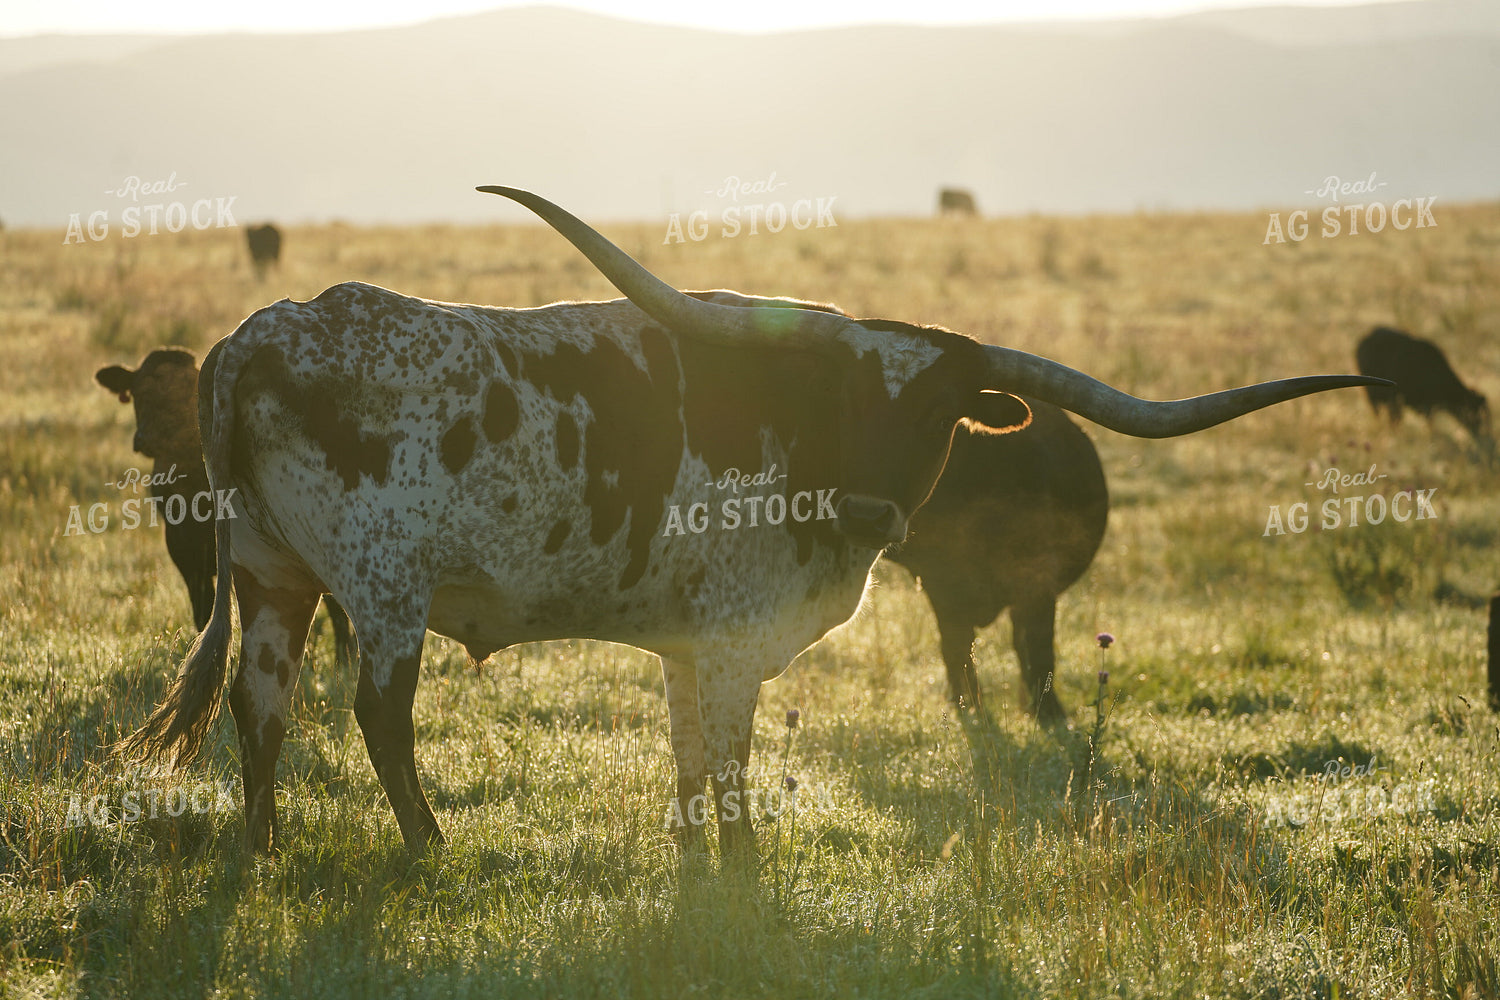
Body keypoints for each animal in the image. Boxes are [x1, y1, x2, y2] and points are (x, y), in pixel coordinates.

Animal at [887, 393, 1107, 723]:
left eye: (943, 419)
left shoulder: (1037, 577)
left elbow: (1038, 647)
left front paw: (1050, 712)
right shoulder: (940, 583)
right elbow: (956, 648)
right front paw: (967, 705)